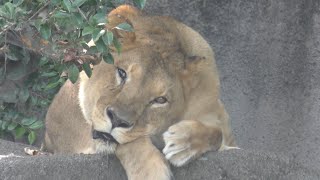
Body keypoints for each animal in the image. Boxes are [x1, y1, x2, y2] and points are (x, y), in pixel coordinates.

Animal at [43, 5, 238, 180]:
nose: (117, 121)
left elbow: (217, 133)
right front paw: (151, 171)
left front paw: (182, 144)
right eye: (122, 73)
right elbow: (131, 143)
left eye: (160, 100)